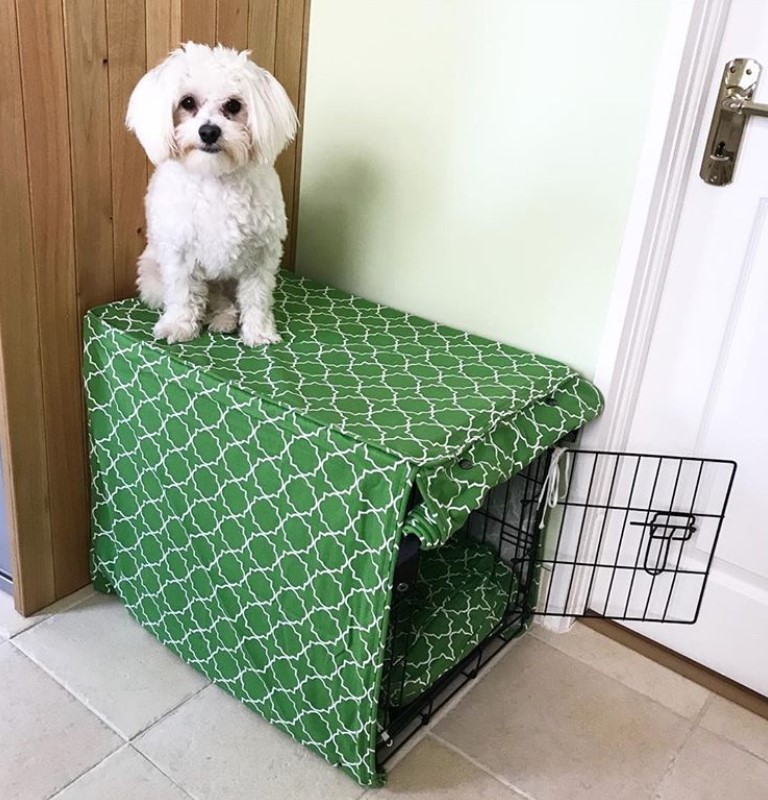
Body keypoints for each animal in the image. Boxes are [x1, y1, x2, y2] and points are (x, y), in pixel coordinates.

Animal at [126, 42, 296, 346]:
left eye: (233, 105)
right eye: (187, 102)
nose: (208, 131)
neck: (215, 177)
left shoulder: (261, 254)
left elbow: (256, 296)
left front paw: (259, 331)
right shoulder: (179, 253)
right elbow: (183, 294)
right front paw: (179, 326)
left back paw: (224, 319)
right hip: (152, 276)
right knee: (209, 299)